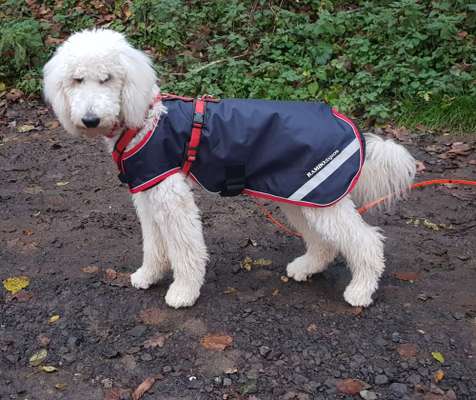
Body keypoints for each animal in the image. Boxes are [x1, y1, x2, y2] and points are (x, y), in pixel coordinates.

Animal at [44, 28, 416, 310]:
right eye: (77, 80)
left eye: (107, 78)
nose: (90, 119)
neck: (144, 120)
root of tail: (352, 128)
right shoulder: (148, 194)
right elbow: (154, 243)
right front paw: (148, 275)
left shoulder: (172, 197)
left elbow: (186, 249)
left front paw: (183, 292)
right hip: (302, 197)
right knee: (325, 243)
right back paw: (306, 267)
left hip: (322, 197)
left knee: (367, 242)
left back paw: (361, 291)